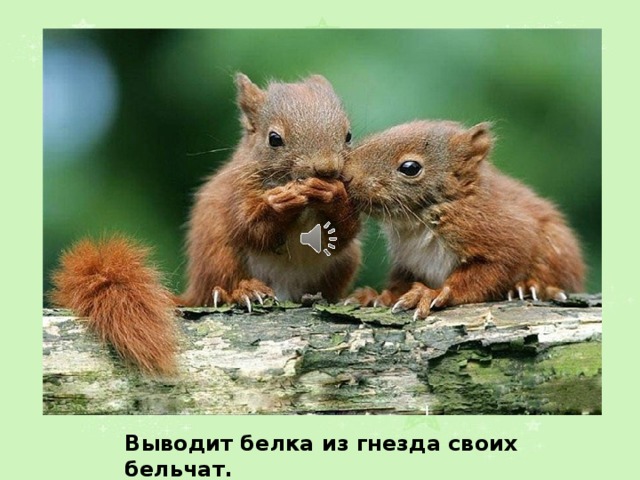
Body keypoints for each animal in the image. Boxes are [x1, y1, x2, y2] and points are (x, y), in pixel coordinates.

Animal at [50, 73, 362, 375]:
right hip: (218, 253)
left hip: (345, 263)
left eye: (348, 135)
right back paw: (238, 292)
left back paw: (359, 297)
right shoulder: (235, 196)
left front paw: (333, 195)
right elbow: (253, 228)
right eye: (274, 139)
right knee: (219, 285)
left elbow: (343, 234)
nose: (327, 169)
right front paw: (281, 202)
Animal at [342, 120, 585, 320]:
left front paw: (431, 293)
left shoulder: (503, 235)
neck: (416, 224)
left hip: (556, 249)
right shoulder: (407, 261)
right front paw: (377, 296)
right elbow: (399, 283)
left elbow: (485, 274)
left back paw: (530, 287)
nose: (346, 176)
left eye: (410, 168)